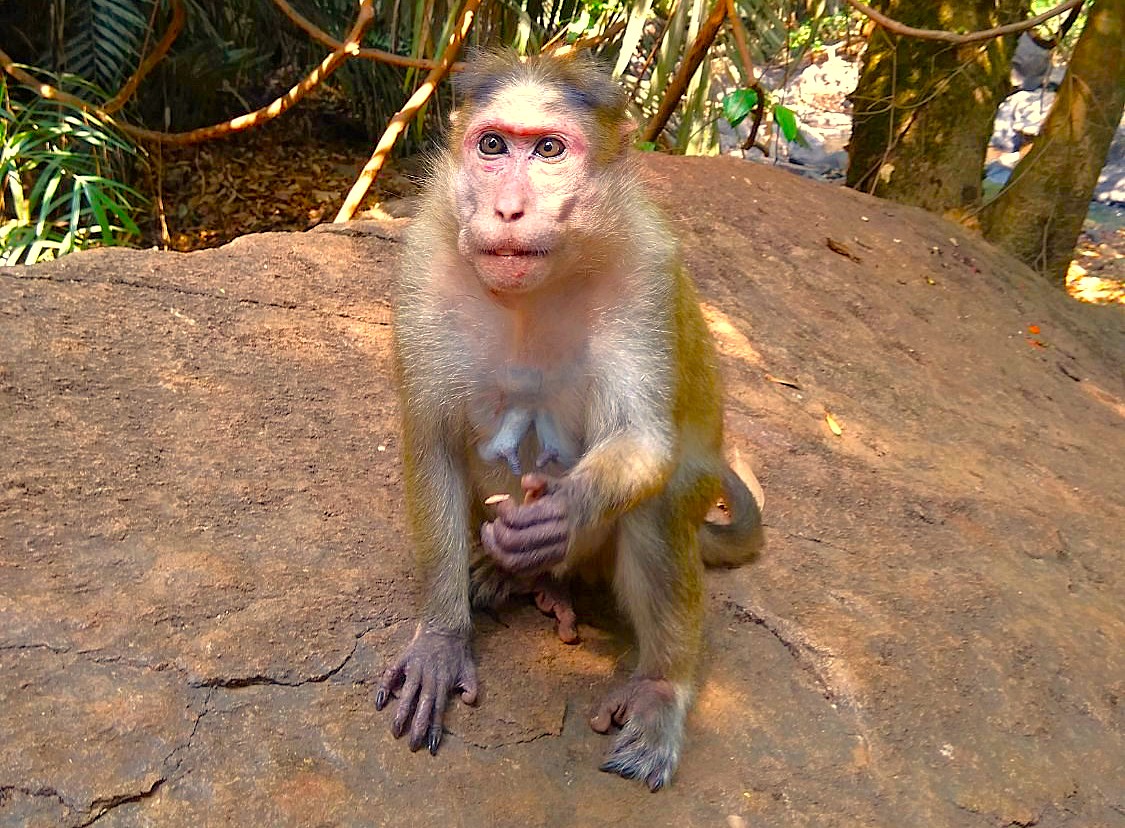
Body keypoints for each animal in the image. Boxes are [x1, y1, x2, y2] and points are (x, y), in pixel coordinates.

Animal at [375, 50, 763, 791]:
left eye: (550, 150)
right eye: (493, 146)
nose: (507, 208)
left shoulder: (647, 269)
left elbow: (644, 441)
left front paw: (557, 513)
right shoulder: (421, 263)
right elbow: (431, 444)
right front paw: (441, 639)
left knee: (660, 503)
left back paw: (657, 685)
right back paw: (514, 577)